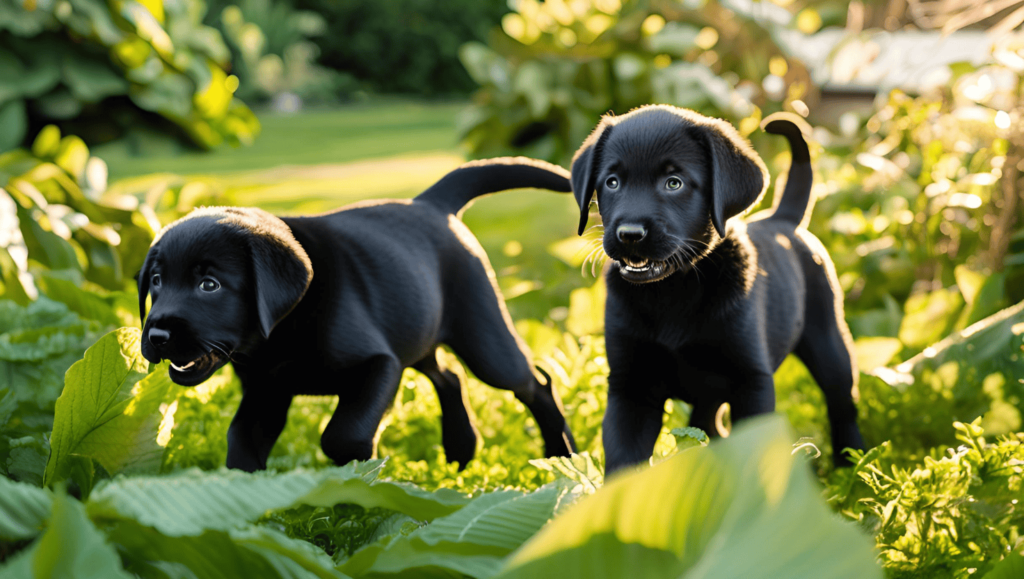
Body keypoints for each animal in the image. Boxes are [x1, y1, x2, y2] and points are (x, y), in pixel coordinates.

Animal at [138, 156, 577, 469]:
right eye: (156, 281)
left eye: (209, 285)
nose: (156, 336)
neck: (277, 335)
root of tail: (432, 203)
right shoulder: (267, 391)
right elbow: (241, 440)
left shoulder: (380, 365)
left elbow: (342, 434)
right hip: (417, 330)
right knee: (448, 375)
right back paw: (461, 448)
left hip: (483, 340)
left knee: (534, 382)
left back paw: (562, 454)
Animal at [573, 105, 868, 473]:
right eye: (611, 182)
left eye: (674, 183)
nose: (629, 234)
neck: (673, 290)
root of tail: (782, 219)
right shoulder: (631, 385)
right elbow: (624, 458)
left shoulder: (751, 381)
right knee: (709, 425)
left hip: (829, 340)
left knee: (842, 401)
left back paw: (851, 466)